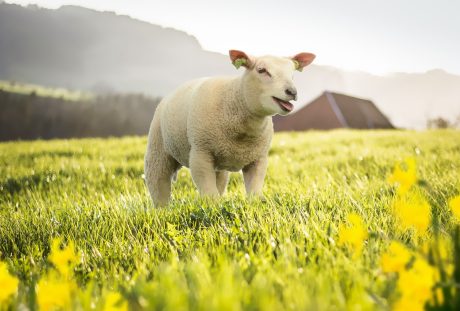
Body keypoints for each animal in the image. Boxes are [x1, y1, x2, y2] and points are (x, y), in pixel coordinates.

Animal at [146, 50, 314, 206]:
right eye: (262, 70)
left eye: (292, 73)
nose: (292, 92)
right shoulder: (200, 153)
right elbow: (209, 193)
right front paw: (212, 210)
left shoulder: (258, 159)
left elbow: (254, 191)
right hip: (158, 148)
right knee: (157, 181)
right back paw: (163, 209)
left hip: (219, 162)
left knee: (219, 182)